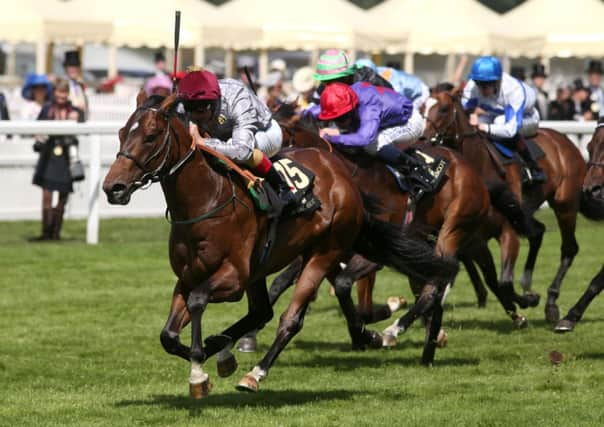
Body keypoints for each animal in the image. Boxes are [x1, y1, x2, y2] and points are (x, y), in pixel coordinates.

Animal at [102, 92, 458, 396]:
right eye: (120, 133)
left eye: (150, 136)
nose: (112, 188)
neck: (207, 199)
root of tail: (345, 179)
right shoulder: (188, 277)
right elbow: (168, 336)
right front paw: (210, 355)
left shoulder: (233, 278)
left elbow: (199, 302)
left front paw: (199, 372)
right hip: (265, 268)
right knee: (262, 311)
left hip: (322, 254)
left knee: (289, 320)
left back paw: (255, 373)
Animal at [422, 91, 588, 324]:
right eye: (421, 107)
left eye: (444, 109)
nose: (423, 139)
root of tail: (564, 140)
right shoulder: (474, 239)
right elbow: (493, 280)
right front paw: (519, 305)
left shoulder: (507, 231)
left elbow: (504, 282)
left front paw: (528, 301)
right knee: (538, 232)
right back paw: (527, 283)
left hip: (565, 204)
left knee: (569, 248)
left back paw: (551, 302)